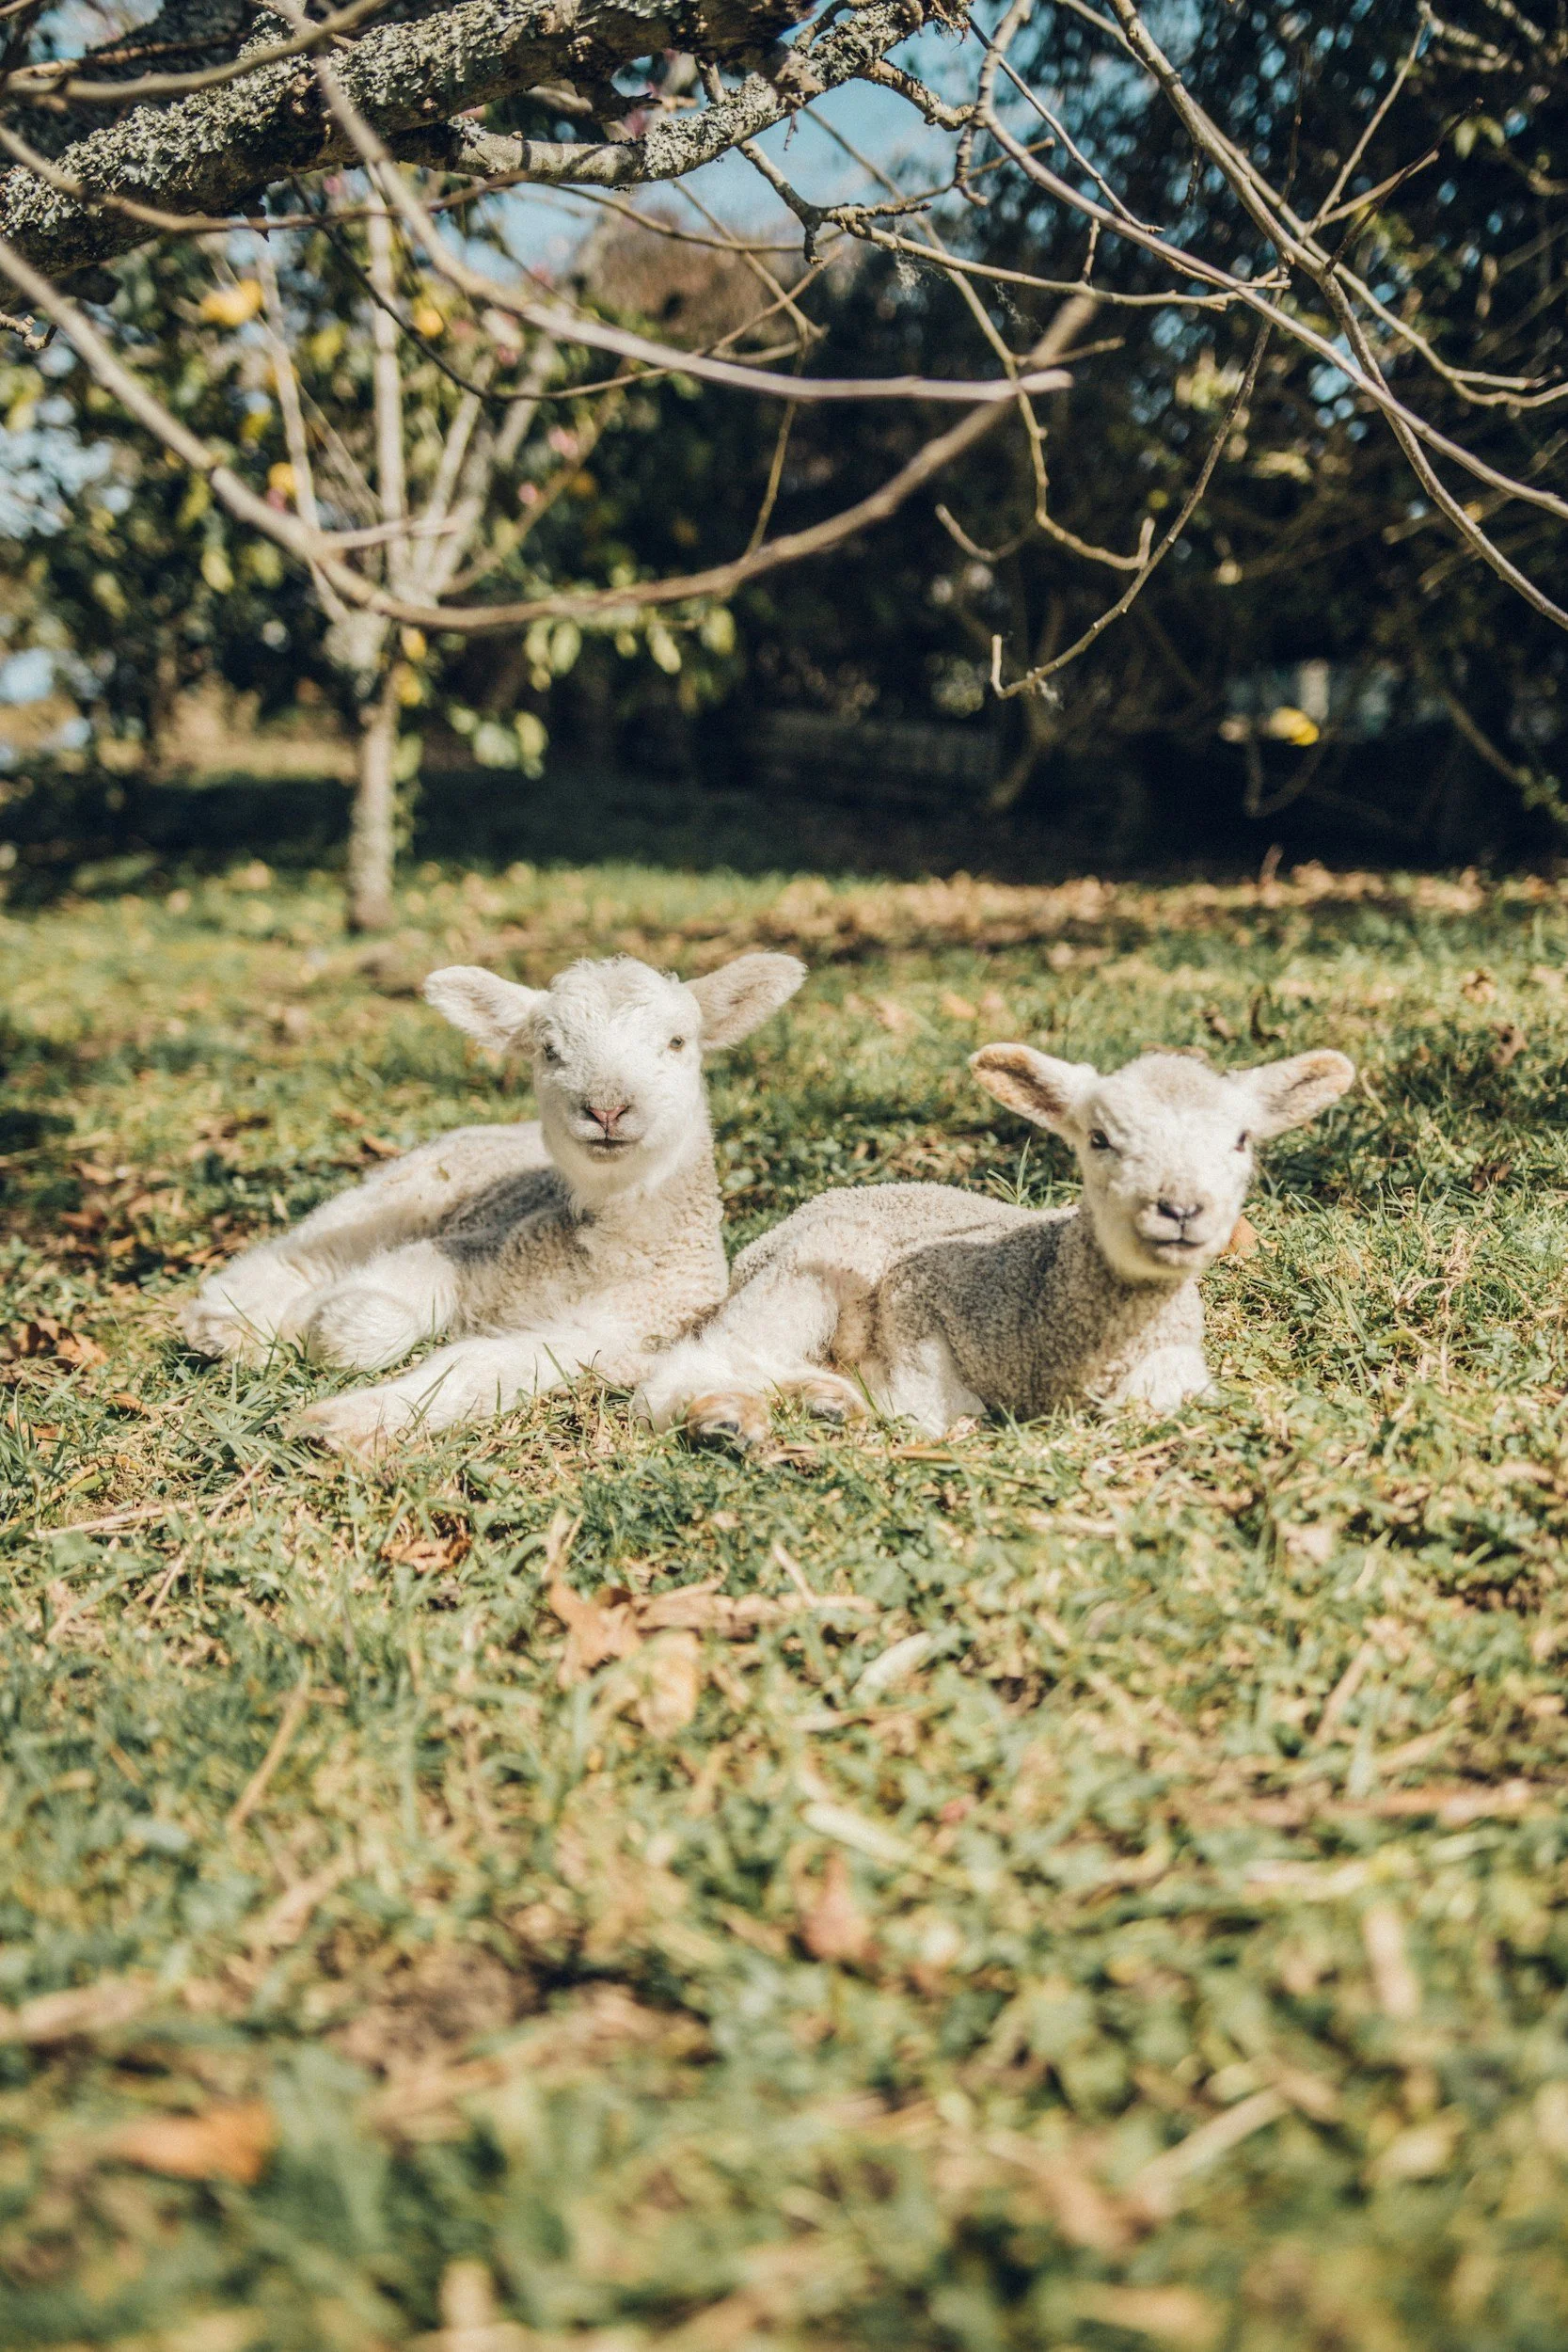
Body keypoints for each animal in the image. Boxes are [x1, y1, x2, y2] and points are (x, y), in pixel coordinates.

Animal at [180, 949, 805, 1455]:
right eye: (549, 1050)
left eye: (677, 1042)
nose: (606, 1108)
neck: (606, 1255)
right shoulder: (474, 1247)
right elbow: (371, 1317)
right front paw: (317, 1321)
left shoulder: (609, 1337)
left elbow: (477, 1366)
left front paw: (348, 1419)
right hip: (400, 1193)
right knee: (301, 1254)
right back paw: (223, 1324)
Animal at [634, 1042, 1355, 1445]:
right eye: (1098, 1138)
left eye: (1241, 1140)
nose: (1180, 1209)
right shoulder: (919, 1304)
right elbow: (935, 1406)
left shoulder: (1174, 1367)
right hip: (811, 1269)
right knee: (700, 1364)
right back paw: (729, 1419)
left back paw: (822, 1403)